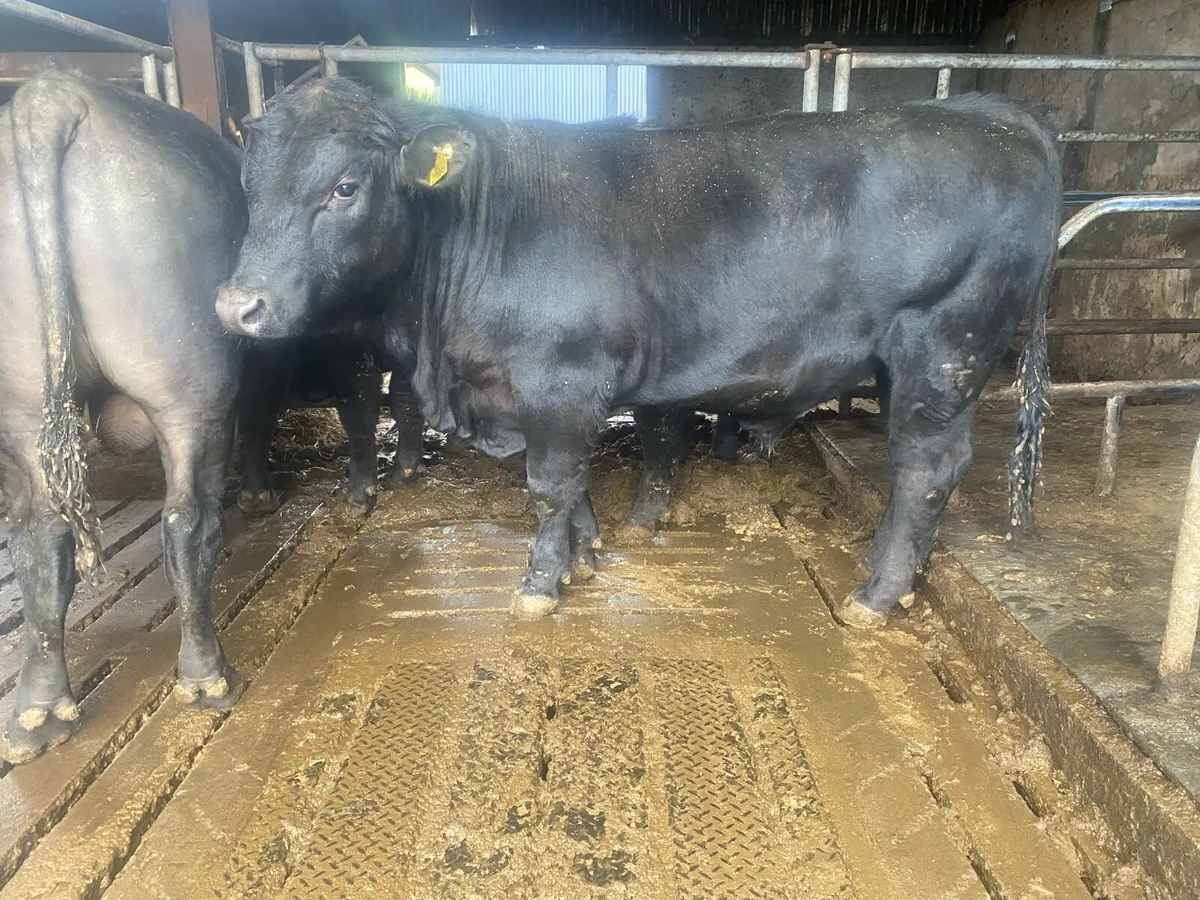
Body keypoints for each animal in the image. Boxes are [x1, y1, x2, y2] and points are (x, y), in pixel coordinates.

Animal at [217, 79, 1058, 626]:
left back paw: (877, 595)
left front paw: (541, 582)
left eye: (345, 188)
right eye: (248, 187)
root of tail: (990, 114)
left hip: (943, 348)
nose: (237, 306)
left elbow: (549, 485)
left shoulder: (561, 381)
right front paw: (585, 553)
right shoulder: (552, 397)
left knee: (926, 469)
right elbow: (575, 486)